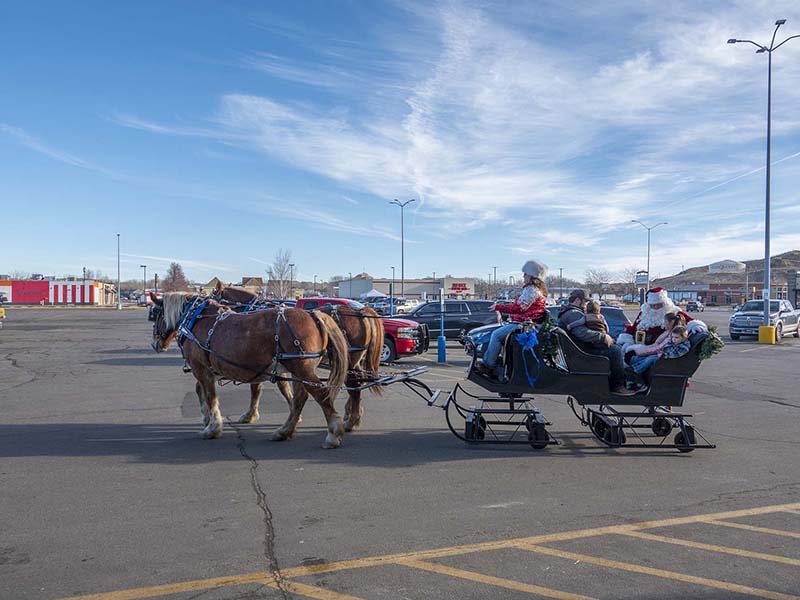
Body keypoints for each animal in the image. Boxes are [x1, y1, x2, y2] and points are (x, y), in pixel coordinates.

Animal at [152, 292, 348, 448]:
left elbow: (209, 396)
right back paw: (284, 431)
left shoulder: (201, 368)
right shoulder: (211, 369)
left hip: (302, 369)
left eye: (155, 314)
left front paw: (212, 427)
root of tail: (313, 314)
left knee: (321, 395)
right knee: (300, 399)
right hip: (298, 370)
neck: (195, 319)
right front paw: (208, 419)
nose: (155, 344)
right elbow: (202, 391)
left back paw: (333, 434)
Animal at [216, 284, 384, 432]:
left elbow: (261, 387)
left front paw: (251, 415)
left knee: (353, 383)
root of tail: (361, 311)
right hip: (354, 360)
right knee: (357, 382)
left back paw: (351, 419)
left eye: (213, 296)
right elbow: (281, 387)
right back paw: (351, 414)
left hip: (349, 359)